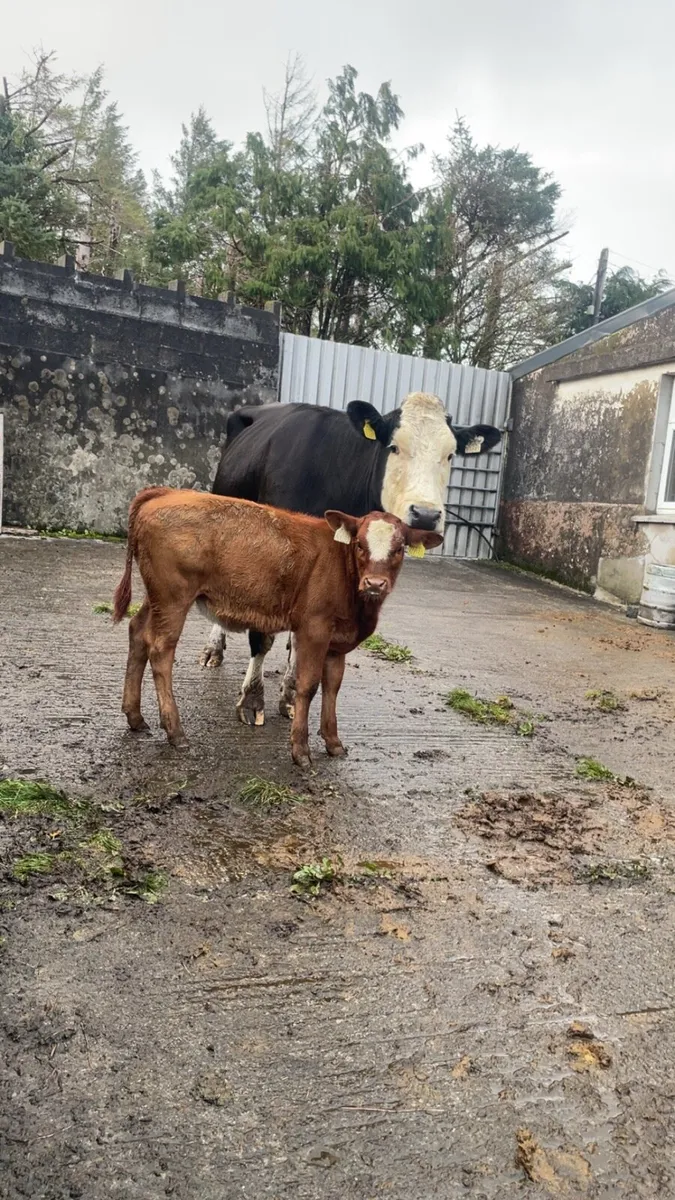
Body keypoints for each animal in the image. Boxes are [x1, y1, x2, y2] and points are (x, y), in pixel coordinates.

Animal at [112, 486, 443, 766]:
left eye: (399, 549)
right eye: (360, 545)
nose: (375, 583)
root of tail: (164, 492)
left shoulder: (337, 643)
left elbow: (332, 687)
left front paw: (333, 742)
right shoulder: (313, 629)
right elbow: (308, 686)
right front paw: (300, 750)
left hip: (156, 598)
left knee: (137, 633)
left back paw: (135, 716)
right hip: (173, 598)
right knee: (160, 650)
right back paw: (175, 732)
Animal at [201, 392, 503, 725]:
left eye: (450, 455)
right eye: (394, 446)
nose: (425, 515)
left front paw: (291, 696)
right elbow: (263, 637)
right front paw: (253, 699)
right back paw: (214, 648)